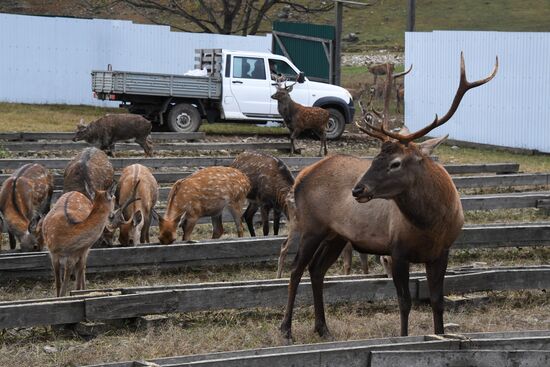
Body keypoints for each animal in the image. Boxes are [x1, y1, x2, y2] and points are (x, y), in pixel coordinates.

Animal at [280, 53, 500, 340]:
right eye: (375, 157)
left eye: (396, 163)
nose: (357, 190)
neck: (432, 224)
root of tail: (301, 175)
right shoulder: (397, 251)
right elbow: (404, 302)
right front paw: (404, 338)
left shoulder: (442, 252)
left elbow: (438, 301)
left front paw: (439, 334)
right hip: (311, 226)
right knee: (296, 269)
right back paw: (286, 329)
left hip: (337, 234)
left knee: (316, 270)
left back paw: (323, 328)